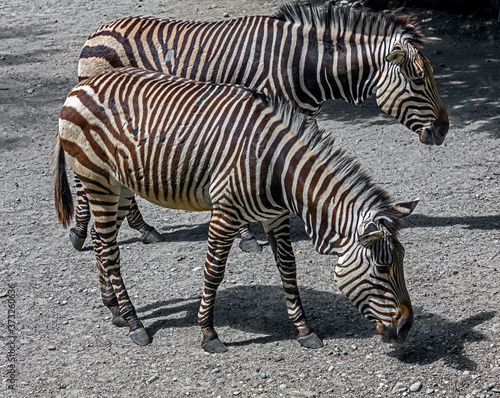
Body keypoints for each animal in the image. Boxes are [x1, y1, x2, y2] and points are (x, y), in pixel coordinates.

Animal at [52, 67, 418, 352]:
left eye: (401, 263)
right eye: (383, 268)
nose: (406, 328)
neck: (277, 166)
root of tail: (82, 85)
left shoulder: (276, 215)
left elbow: (288, 269)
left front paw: (304, 329)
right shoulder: (225, 212)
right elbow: (213, 272)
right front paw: (208, 333)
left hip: (120, 186)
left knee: (101, 243)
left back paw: (113, 308)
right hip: (96, 179)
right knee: (110, 251)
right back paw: (134, 323)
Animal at [72, 1, 452, 252]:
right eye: (418, 80)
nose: (444, 130)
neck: (304, 64)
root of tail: (96, 33)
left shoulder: (300, 119)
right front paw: (248, 235)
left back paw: (142, 228)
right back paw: (81, 231)